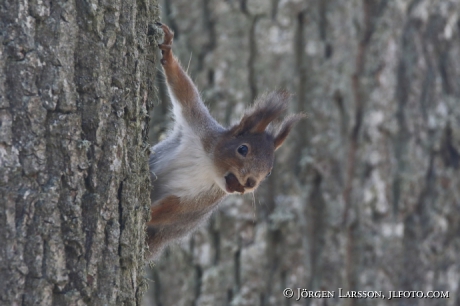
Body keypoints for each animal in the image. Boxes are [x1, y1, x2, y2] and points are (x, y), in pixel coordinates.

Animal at [147, 23, 304, 258]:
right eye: (243, 149)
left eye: (268, 172)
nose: (250, 183)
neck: (208, 166)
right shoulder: (199, 126)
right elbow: (184, 89)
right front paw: (168, 50)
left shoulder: (201, 201)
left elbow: (174, 211)